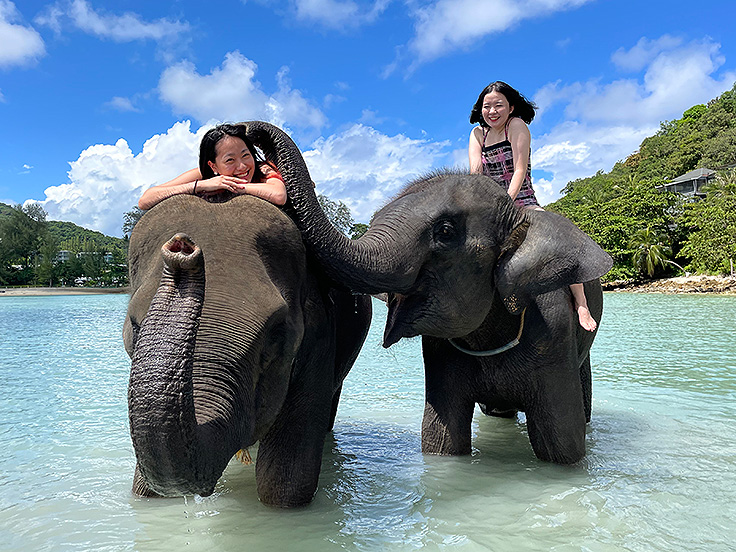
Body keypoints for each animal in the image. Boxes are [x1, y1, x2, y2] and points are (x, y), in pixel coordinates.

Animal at [124, 194, 372, 507]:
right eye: (135, 326)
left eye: (276, 332)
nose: (182, 248)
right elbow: (145, 486)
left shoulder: (320, 334)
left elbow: (284, 481)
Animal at [239, 121, 612, 465]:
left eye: (445, 232)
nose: (246, 129)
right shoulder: (439, 354)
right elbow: (441, 440)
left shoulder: (553, 335)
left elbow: (562, 445)